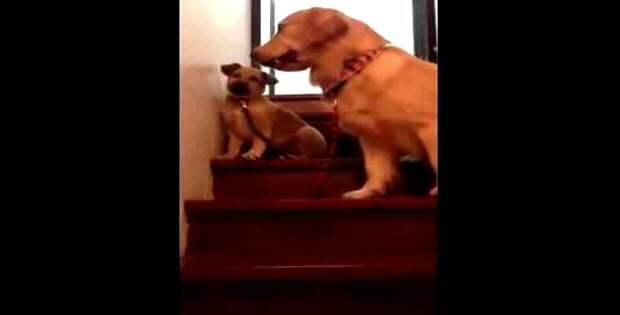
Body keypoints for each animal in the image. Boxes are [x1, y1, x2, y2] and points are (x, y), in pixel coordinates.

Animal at [252, 7, 436, 199]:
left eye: (281, 28)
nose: (253, 53)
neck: (356, 68)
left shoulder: (430, 127)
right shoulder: (373, 138)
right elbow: (375, 170)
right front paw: (366, 192)